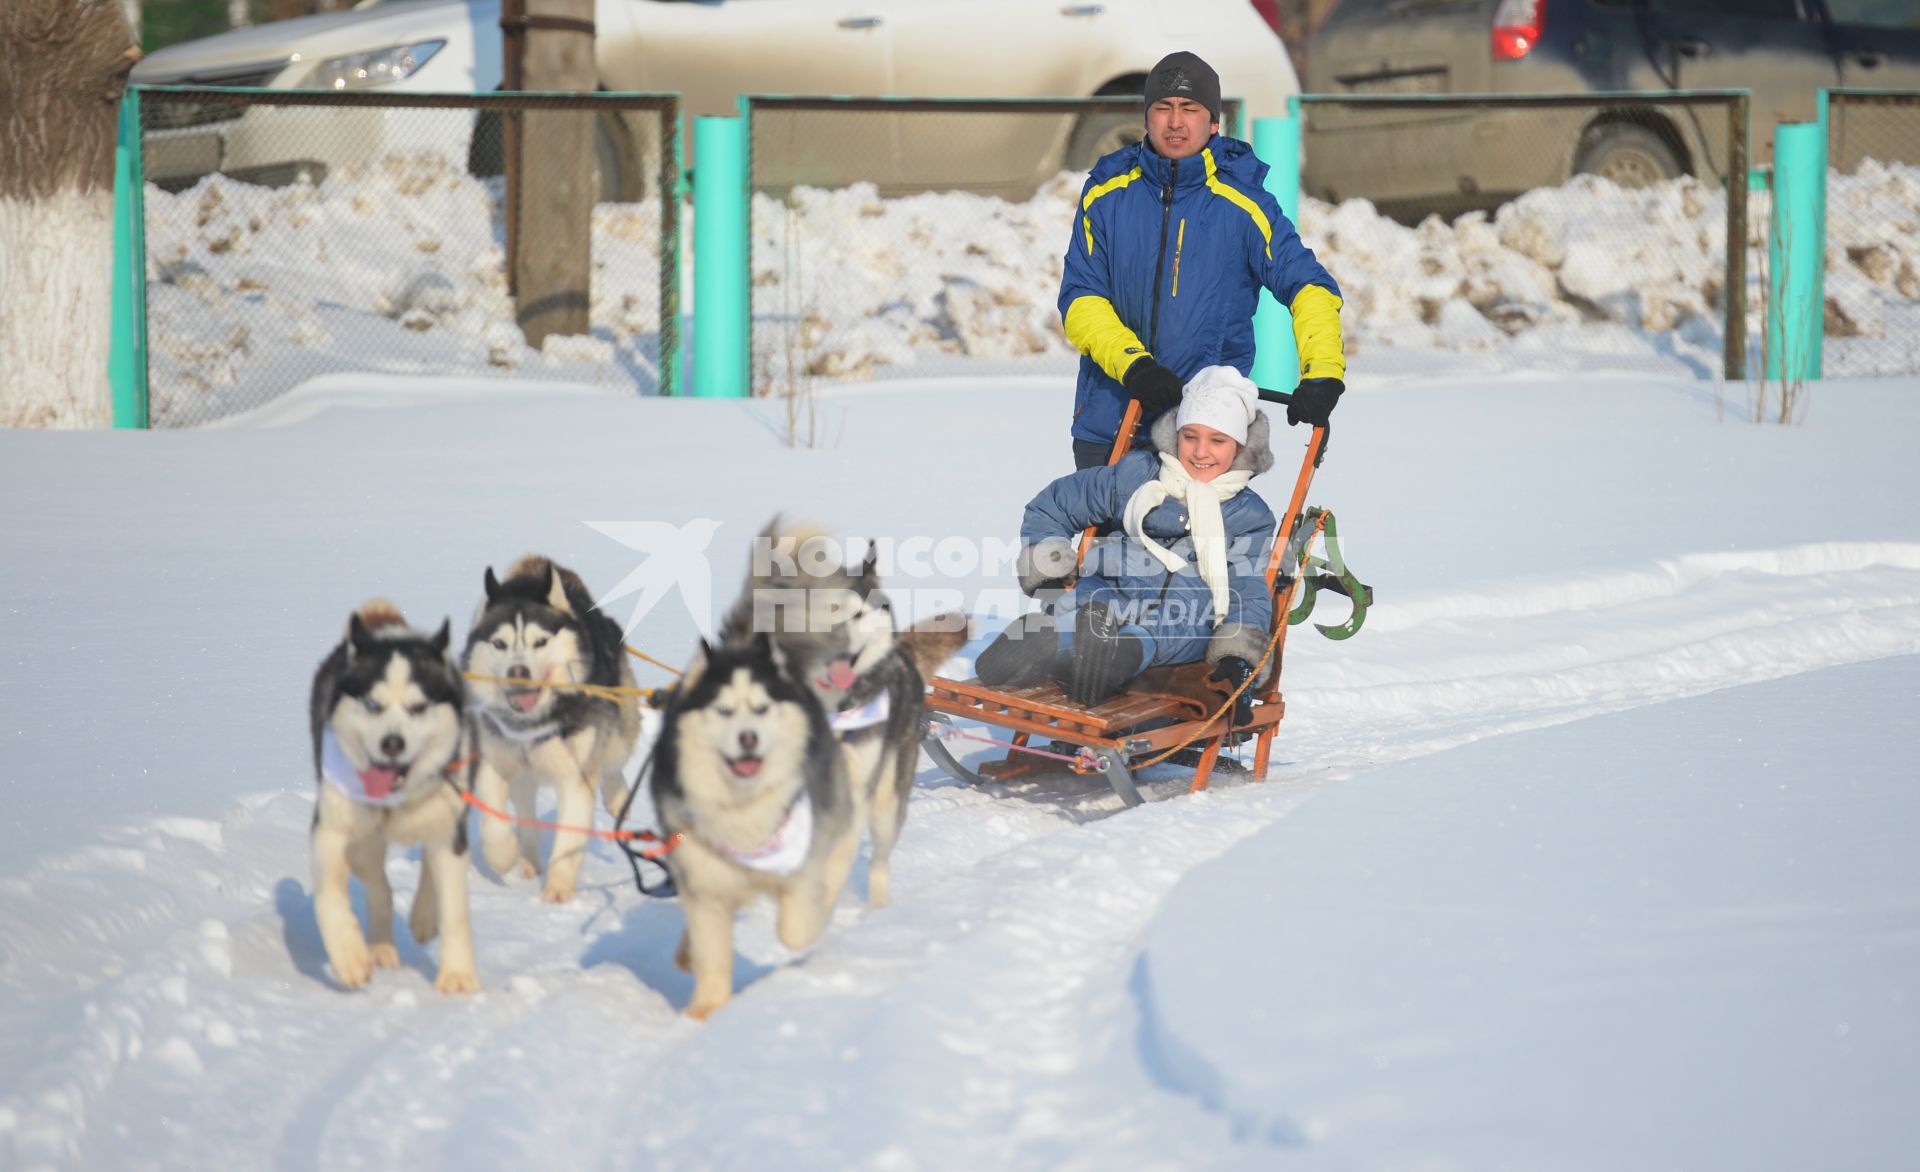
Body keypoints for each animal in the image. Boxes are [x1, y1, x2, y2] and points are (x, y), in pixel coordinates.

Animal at [307, 599, 476, 991]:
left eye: (419, 707)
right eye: (373, 705)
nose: (392, 743)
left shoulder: (450, 830)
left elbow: (454, 909)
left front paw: (457, 974)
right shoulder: (331, 828)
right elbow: (328, 894)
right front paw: (349, 956)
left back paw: (424, 917)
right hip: (363, 839)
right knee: (378, 886)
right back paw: (380, 947)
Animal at [460, 553, 641, 899]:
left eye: (540, 642)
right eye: (499, 644)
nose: (518, 672)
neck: (532, 723)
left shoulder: (576, 776)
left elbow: (569, 837)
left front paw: (558, 890)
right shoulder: (494, 761)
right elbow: (495, 820)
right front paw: (503, 856)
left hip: (619, 734)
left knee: (613, 762)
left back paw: (617, 799)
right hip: (523, 777)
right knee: (526, 816)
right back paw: (528, 861)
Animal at [648, 630, 860, 1014]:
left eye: (762, 709)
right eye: (723, 710)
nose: (748, 738)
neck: (743, 805)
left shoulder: (803, 861)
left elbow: (796, 929)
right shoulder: (704, 881)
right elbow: (710, 951)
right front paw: (704, 1012)